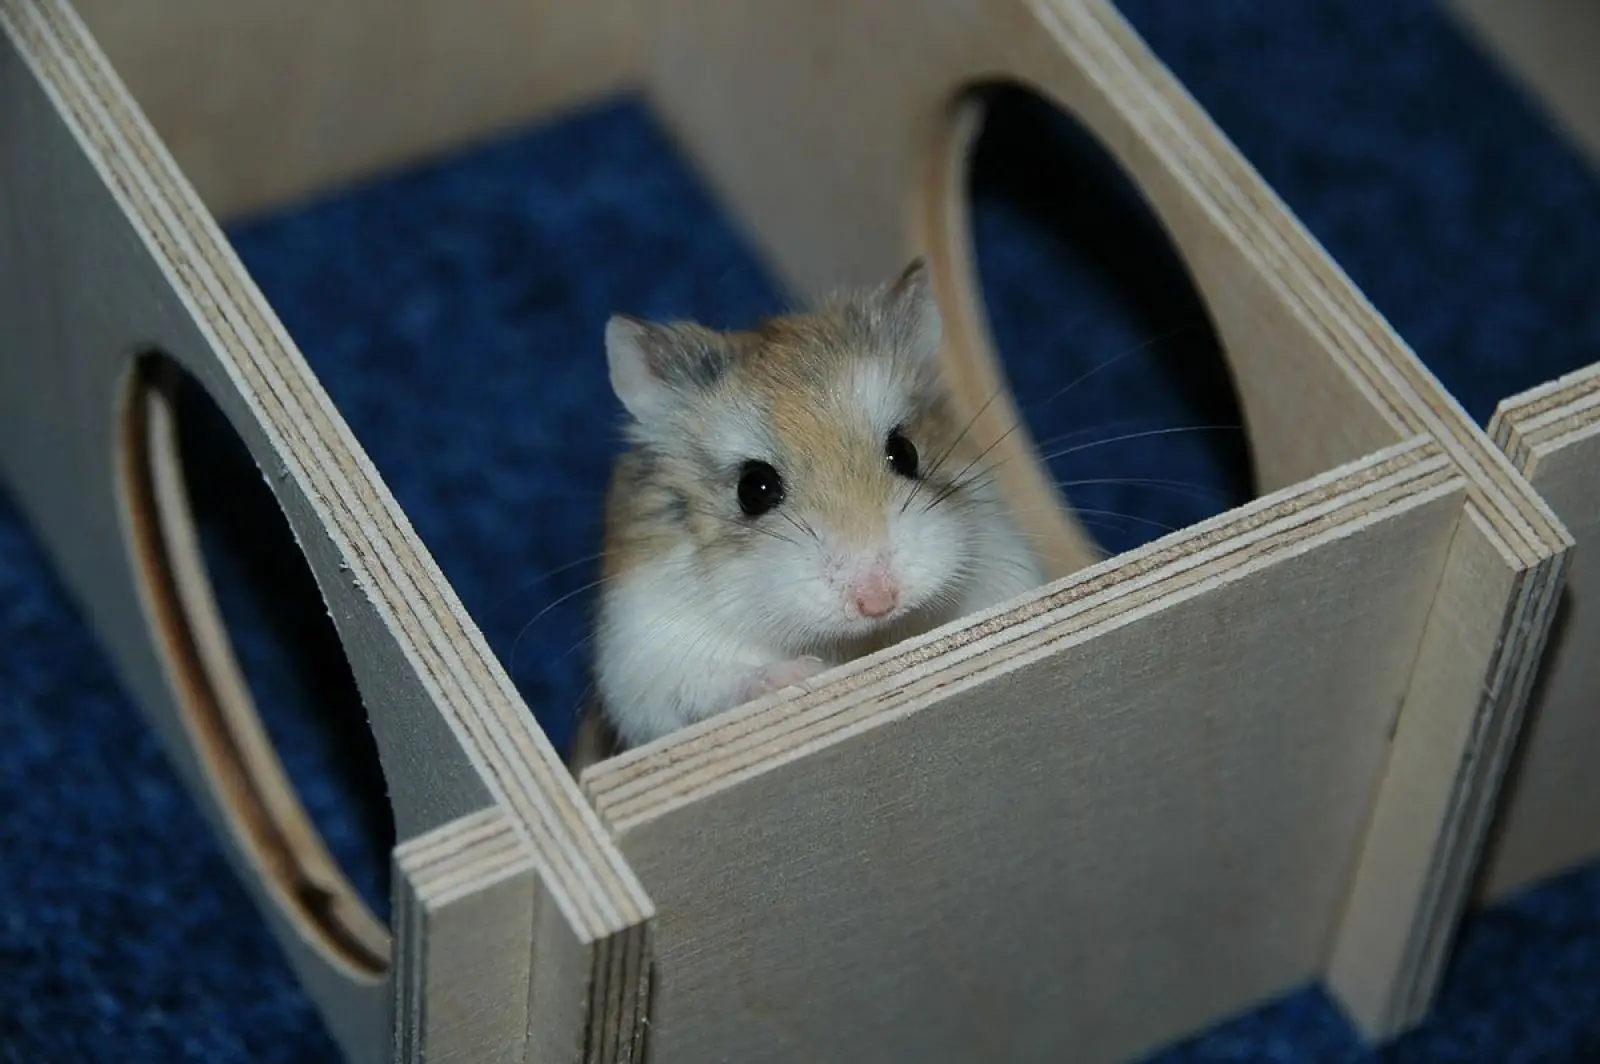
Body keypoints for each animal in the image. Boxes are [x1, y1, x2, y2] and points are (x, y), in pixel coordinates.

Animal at [587, 258, 1046, 753]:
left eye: (906, 452)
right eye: (753, 489)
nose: (878, 602)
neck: (861, 640)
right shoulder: (648, 659)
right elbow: (720, 685)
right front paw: (799, 674)